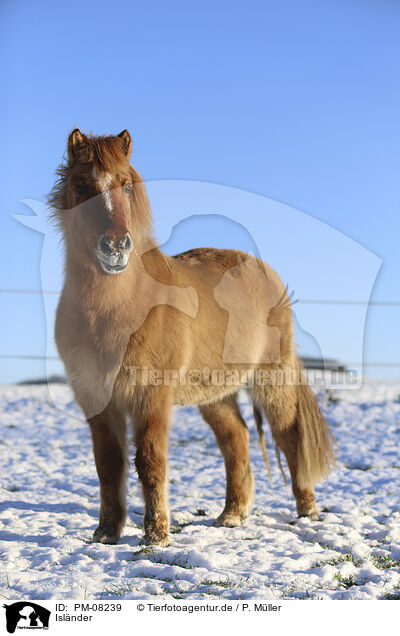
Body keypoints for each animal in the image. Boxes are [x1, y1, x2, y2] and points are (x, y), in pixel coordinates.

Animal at [48, 129, 332, 548]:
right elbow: (108, 465)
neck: (119, 312)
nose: (115, 247)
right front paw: (106, 533)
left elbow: (150, 460)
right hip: (216, 395)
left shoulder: (152, 397)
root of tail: (265, 271)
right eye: (80, 185)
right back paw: (232, 515)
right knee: (236, 439)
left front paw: (156, 535)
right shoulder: (98, 400)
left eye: (127, 185)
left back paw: (307, 510)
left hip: (270, 379)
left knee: (289, 434)